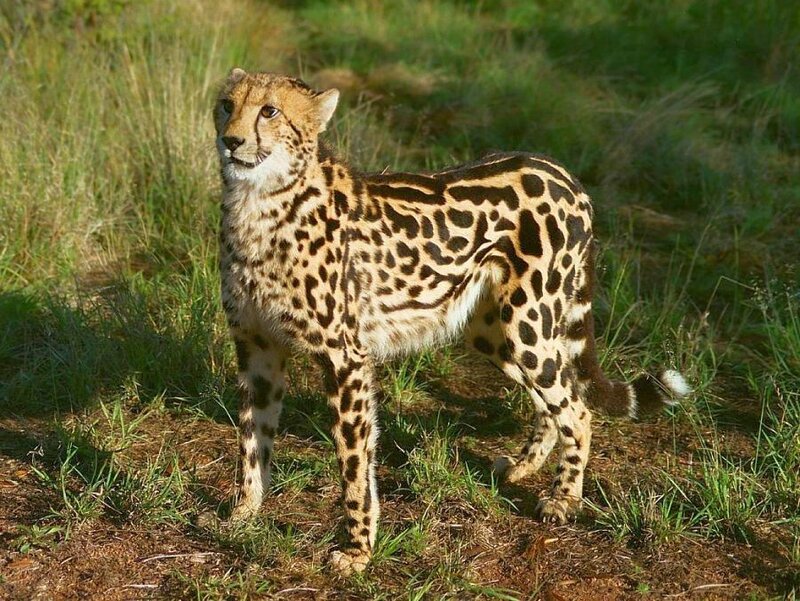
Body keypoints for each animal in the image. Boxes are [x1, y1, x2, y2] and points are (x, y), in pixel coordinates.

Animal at [213, 68, 691, 575]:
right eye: (227, 104)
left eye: (270, 110)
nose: (231, 140)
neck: (261, 202)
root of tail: (559, 170)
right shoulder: (256, 349)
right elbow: (252, 440)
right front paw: (243, 514)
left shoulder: (346, 357)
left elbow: (353, 463)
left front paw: (358, 549)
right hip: (496, 331)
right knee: (557, 398)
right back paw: (523, 466)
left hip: (527, 325)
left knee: (577, 409)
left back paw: (564, 498)